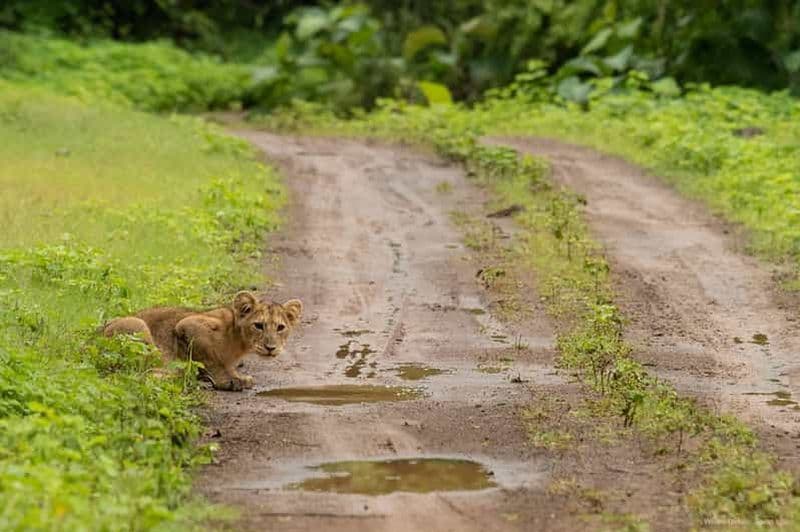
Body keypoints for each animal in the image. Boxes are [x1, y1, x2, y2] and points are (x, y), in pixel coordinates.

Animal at [102, 291, 302, 391]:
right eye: (259, 325)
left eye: (280, 327)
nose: (271, 347)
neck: (239, 342)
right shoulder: (188, 325)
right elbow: (211, 359)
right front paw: (228, 381)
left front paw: (238, 376)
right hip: (137, 325)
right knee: (141, 373)